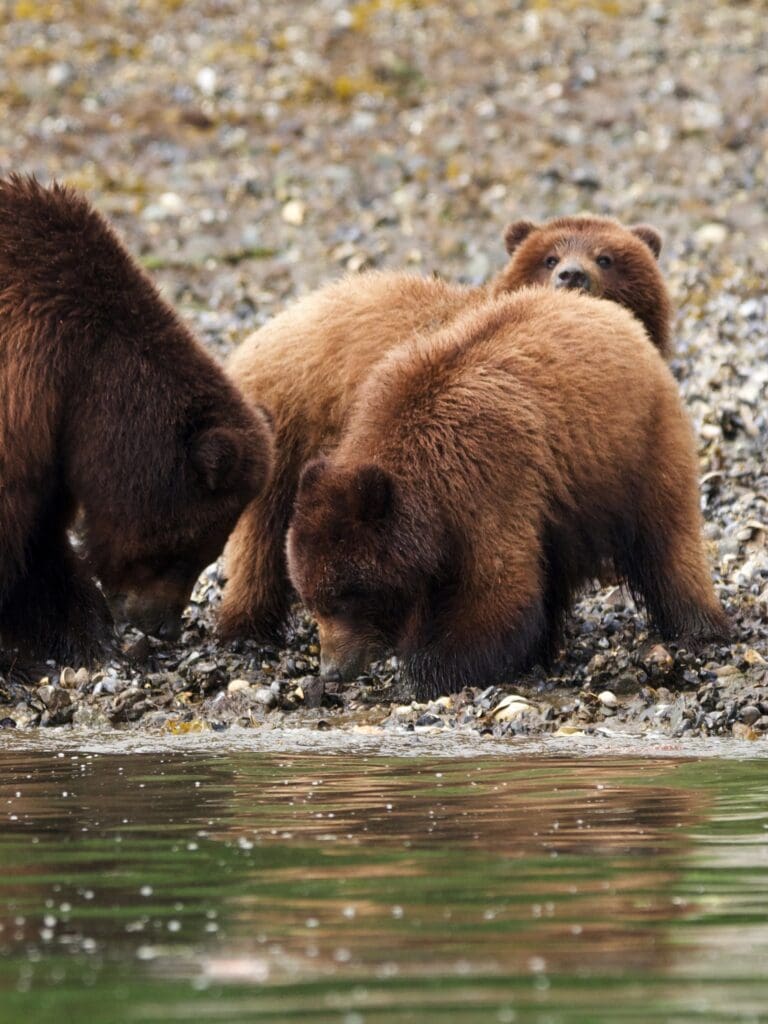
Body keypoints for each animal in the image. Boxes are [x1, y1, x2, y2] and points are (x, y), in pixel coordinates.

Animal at [0, 175, 273, 667]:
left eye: (206, 551)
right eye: (185, 549)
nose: (164, 627)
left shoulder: (49, 436)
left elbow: (38, 537)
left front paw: (79, 631)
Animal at [220, 215, 672, 645]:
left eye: (605, 258)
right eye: (549, 258)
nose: (572, 275)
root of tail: (253, 340)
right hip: (291, 426)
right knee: (262, 535)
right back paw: (247, 625)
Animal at [286, 287, 727, 700]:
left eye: (344, 597)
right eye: (311, 600)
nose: (332, 669)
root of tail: (618, 318)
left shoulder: (488, 480)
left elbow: (497, 590)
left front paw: (429, 670)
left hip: (636, 446)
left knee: (667, 542)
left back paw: (697, 627)